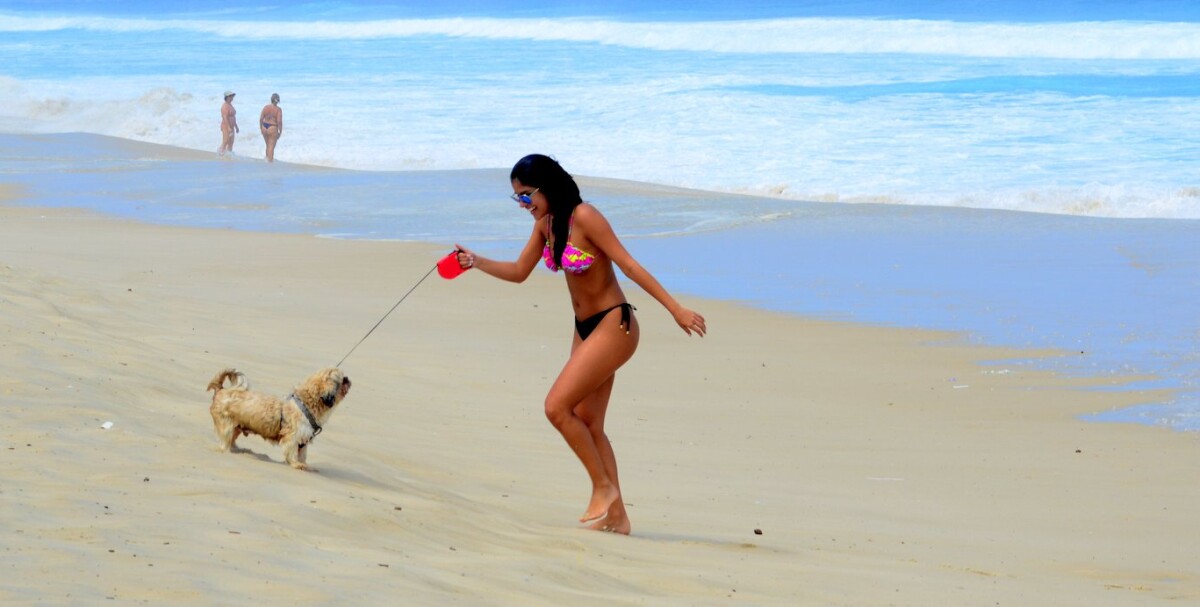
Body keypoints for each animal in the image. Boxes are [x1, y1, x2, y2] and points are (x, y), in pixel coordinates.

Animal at [207, 367, 350, 472]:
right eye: (342, 380)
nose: (348, 379)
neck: (306, 403)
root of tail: (221, 391)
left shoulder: (303, 440)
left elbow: (302, 455)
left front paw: (304, 464)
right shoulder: (293, 437)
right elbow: (292, 453)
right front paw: (297, 464)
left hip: (236, 428)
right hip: (226, 427)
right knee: (225, 442)